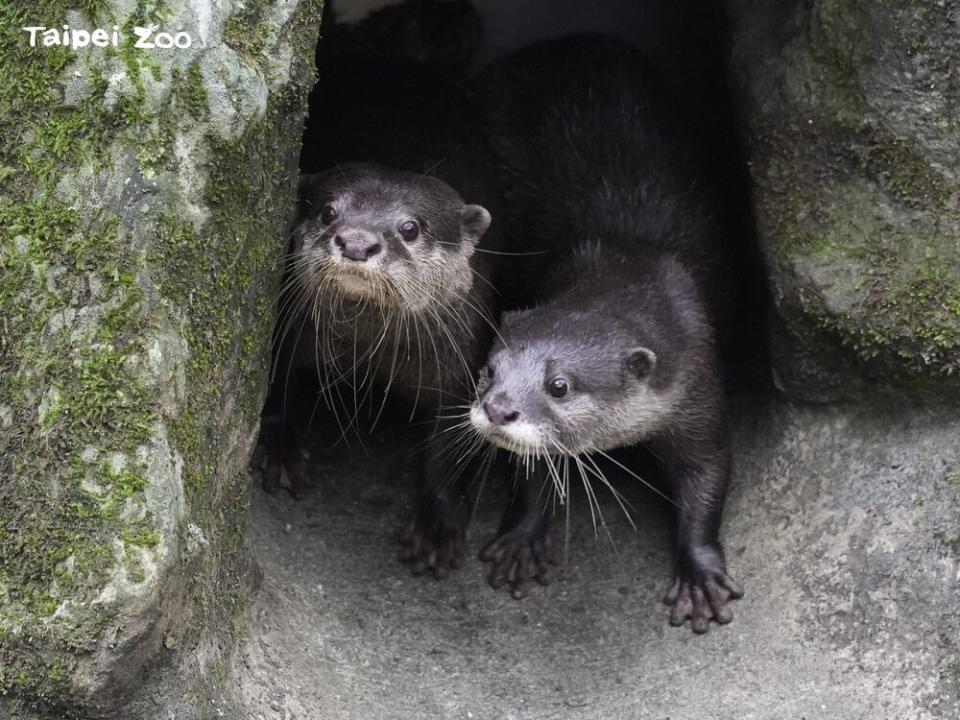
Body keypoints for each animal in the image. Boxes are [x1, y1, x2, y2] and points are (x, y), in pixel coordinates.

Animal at [464, 36, 744, 632]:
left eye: (560, 385)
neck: (627, 263)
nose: (498, 408)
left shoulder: (698, 380)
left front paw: (701, 576)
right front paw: (522, 539)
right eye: (489, 370)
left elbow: (709, 472)